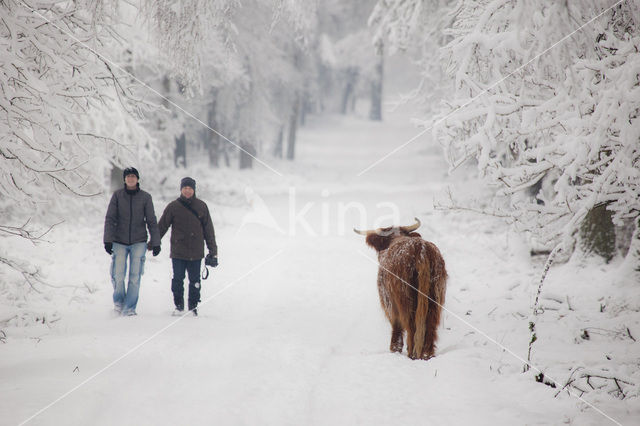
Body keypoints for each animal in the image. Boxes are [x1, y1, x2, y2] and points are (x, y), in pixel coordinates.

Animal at [356, 218, 450, 362]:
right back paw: (427, 355)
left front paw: (394, 349)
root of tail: (420, 249)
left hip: (405, 299)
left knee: (411, 326)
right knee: (430, 325)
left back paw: (412, 354)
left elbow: (396, 325)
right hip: (435, 297)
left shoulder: (389, 303)